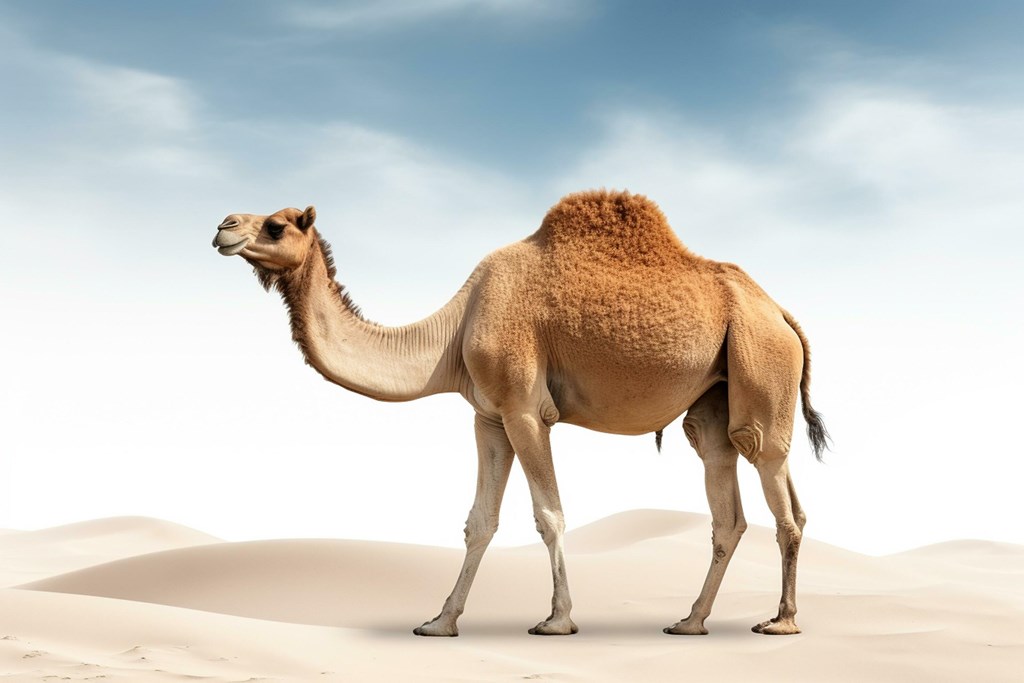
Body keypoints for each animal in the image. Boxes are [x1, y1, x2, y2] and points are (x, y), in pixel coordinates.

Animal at [212, 189, 828, 637]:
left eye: (277, 225)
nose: (223, 226)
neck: (455, 328)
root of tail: (781, 312)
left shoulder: (525, 409)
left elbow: (548, 514)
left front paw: (557, 620)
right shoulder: (488, 416)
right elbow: (479, 521)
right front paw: (439, 622)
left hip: (760, 366)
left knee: (777, 489)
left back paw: (781, 621)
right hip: (714, 398)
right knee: (728, 497)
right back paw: (690, 621)